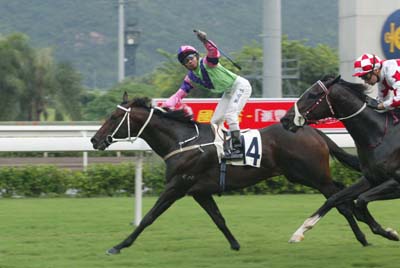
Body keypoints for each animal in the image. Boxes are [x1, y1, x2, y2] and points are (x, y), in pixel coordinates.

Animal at [91, 92, 368, 253]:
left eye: (114, 117)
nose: (95, 140)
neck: (182, 141)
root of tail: (313, 131)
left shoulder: (177, 186)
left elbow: (149, 217)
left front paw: (119, 246)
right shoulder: (199, 191)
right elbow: (218, 218)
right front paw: (235, 245)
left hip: (313, 176)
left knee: (341, 201)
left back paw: (363, 236)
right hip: (305, 176)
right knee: (342, 194)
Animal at [280, 75, 400, 243]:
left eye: (312, 95)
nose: (285, 119)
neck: (380, 135)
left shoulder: (396, 182)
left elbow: (361, 200)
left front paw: (387, 232)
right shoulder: (371, 179)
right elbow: (335, 199)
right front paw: (300, 231)